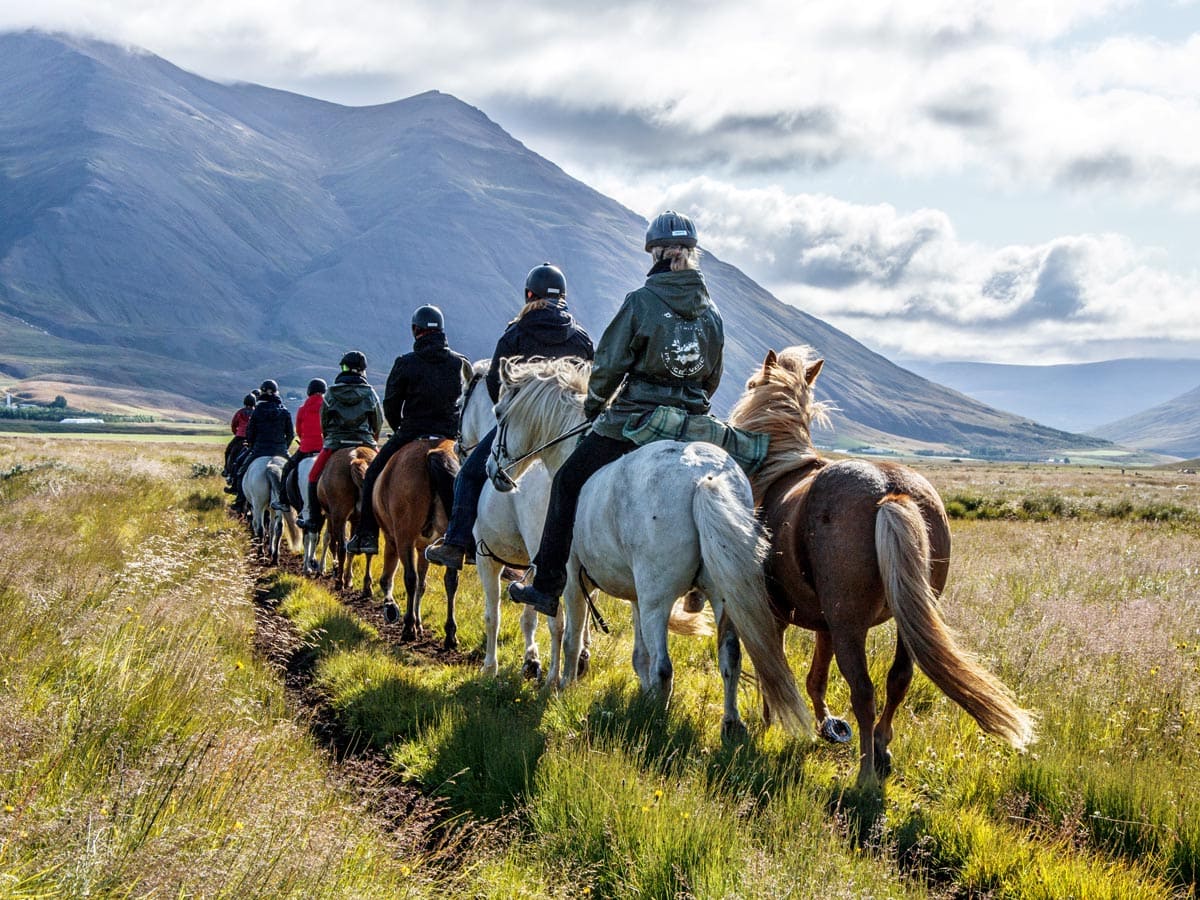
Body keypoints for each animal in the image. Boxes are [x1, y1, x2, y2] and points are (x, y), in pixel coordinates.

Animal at [314, 448, 374, 595]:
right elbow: (351, 548)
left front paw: (334, 571)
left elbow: (330, 540)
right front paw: (349, 579)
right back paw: (367, 586)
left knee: (341, 546)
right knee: (368, 550)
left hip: (339, 515)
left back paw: (339, 582)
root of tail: (357, 457)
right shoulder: (355, 520)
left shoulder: (331, 515)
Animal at [362, 436, 460, 648]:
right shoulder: (423, 546)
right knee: (450, 581)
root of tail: (434, 452)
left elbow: (388, 578)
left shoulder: (392, 539)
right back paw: (450, 634)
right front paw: (419, 623)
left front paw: (394, 610)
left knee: (410, 578)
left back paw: (408, 628)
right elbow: (422, 585)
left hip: (404, 536)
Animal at [487, 355, 816, 744]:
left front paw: (561, 687)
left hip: (659, 599)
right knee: (730, 657)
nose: (494, 471)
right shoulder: (636, 595)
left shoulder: (571, 580)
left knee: (665, 667)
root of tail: (703, 478)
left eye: (498, 413)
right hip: (722, 597)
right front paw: (636, 690)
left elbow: (570, 638)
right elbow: (638, 653)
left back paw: (654, 724)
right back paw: (730, 725)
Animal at [724, 348, 1036, 787]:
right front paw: (823, 726)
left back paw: (866, 773)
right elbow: (815, 679)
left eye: (751, 385)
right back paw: (882, 747)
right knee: (898, 679)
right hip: (903, 620)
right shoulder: (824, 625)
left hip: (850, 626)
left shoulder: (780, 615)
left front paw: (774, 722)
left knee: (864, 690)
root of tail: (890, 491)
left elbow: (774, 668)